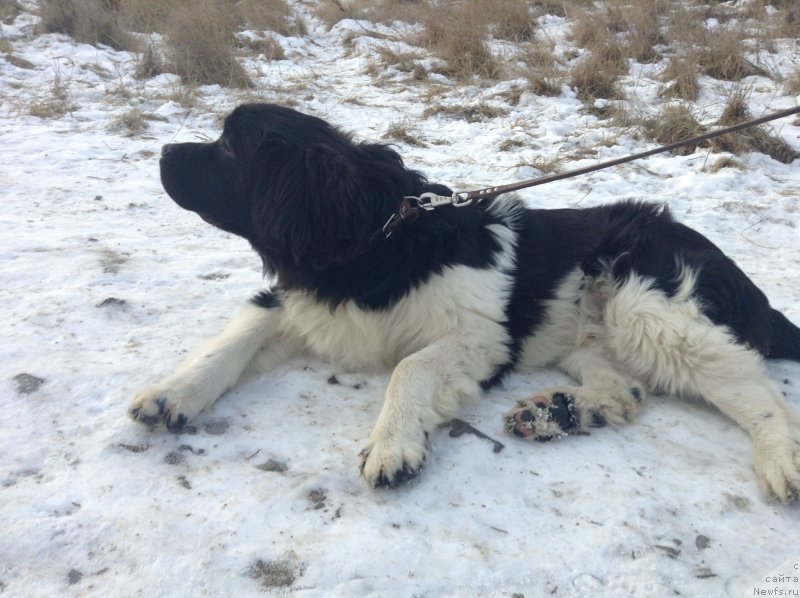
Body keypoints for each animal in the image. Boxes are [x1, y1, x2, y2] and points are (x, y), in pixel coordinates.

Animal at [130, 103, 800, 502]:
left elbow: (410, 365)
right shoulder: (299, 304)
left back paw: (780, 462)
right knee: (629, 392)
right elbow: (230, 341)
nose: (162, 153)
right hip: (589, 335)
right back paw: (558, 412)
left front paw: (392, 444)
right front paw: (169, 396)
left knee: (760, 396)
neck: (377, 238)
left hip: (650, 306)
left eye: (229, 147)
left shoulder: (479, 337)